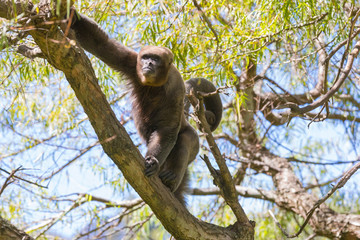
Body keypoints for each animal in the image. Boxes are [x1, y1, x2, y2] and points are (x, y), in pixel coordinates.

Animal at [68, 11, 222, 204]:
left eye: (155, 59)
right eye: (146, 57)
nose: (148, 64)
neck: (154, 85)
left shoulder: (176, 88)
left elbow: (167, 130)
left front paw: (153, 161)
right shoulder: (132, 62)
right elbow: (99, 42)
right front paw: (71, 15)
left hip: (193, 144)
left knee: (186, 139)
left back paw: (171, 178)